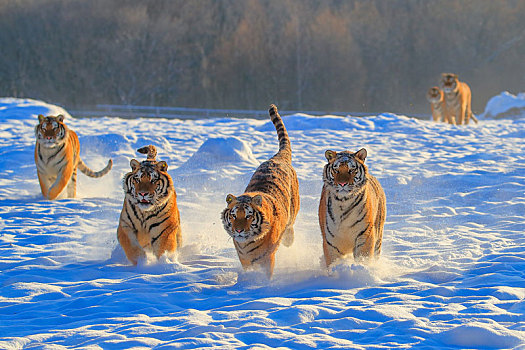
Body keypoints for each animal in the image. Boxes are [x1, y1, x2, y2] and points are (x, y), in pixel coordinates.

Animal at [220, 102, 298, 278]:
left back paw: (289, 240)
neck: (246, 243)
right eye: (234, 215)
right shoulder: (244, 258)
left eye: (248, 216)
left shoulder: (267, 257)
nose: (239, 230)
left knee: (291, 225)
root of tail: (278, 157)